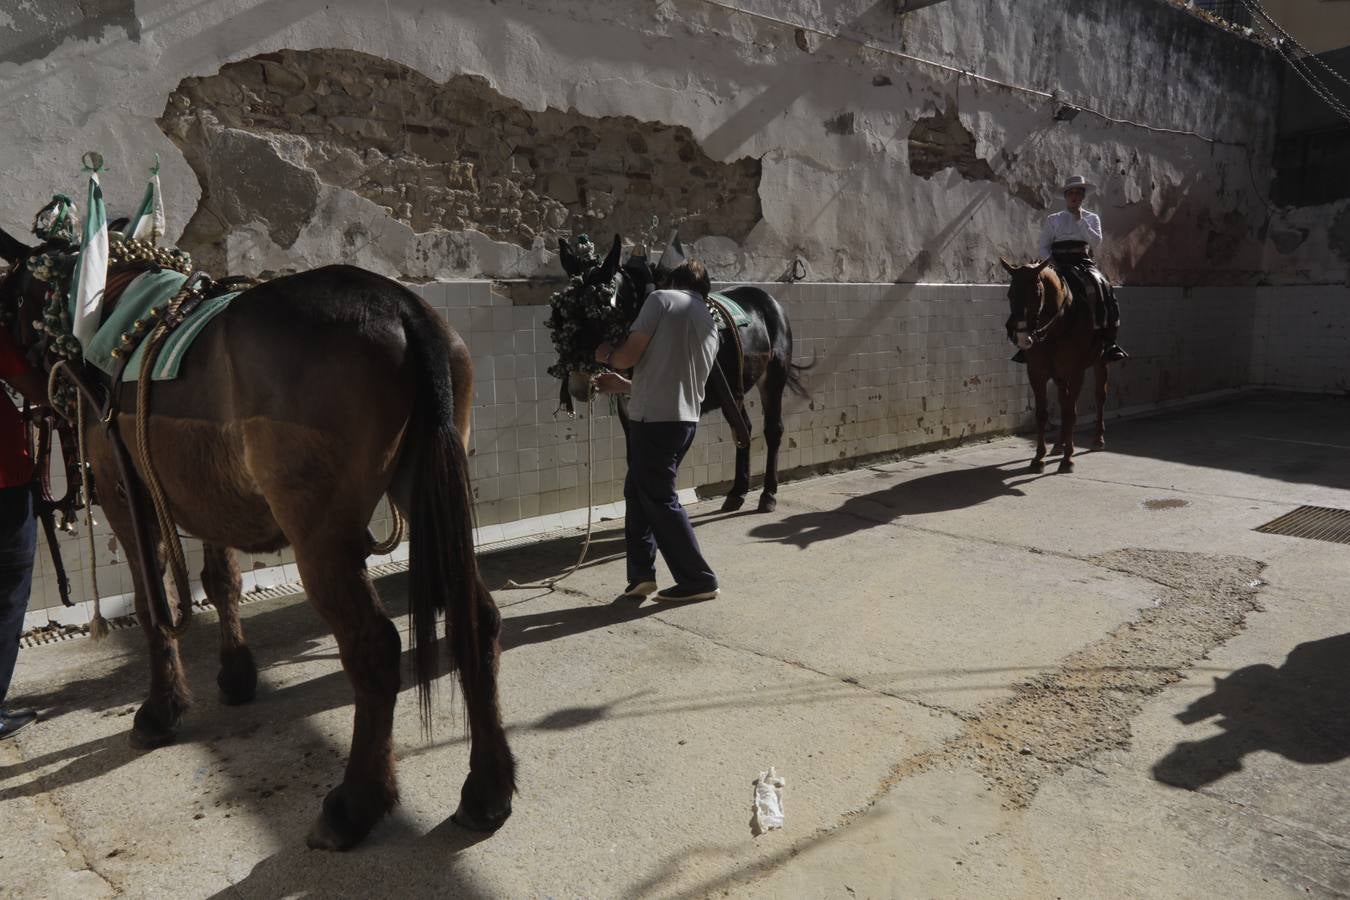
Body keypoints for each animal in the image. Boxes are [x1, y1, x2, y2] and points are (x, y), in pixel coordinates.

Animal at [0, 225, 515, 852]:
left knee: (374, 648)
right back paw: (487, 787)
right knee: (476, 621)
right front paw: (236, 673)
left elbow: (151, 607)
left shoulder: (128, 500)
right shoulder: (208, 500)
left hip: (321, 538)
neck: (109, 315)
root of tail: (401, 308)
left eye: (8, 300)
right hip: (429, 495)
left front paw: (161, 709)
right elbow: (221, 582)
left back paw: (355, 803)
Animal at [1004, 256, 1107, 474]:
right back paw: (1059, 444)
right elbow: (1043, 413)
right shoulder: (1037, 373)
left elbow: (1070, 413)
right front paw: (1038, 458)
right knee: (1062, 400)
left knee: (1099, 396)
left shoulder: (1076, 373)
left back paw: (1097, 439)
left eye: (1036, 294)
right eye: (1010, 293)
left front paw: (1068, 459)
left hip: (1101, 362)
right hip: (1060, 376)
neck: (1056, 328)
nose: (1022, 337)